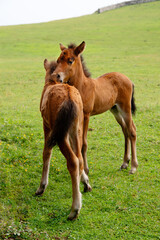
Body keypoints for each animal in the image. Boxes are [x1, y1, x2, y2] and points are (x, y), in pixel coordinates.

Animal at [36, 59, 91, 220]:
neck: (52, 82)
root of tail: (69, 97)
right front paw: (86, 182)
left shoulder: (47, 126)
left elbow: (46, 153)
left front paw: (41, 187)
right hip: (75, 130)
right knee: (79, 158)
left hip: (61, 136)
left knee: (73, 161)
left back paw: (74, 209)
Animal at [52, 41, 138, 174]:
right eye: (58, 60)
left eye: (70, 61)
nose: (56, 76)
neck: (82, 87)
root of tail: (128, 79)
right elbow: (74, 143)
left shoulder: (86, 116)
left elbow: (83, 143)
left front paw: (85, 169)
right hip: (115, 110)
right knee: (125, 130)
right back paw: (125, 163)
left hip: (125, 108)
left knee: (132, 131)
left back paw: (133, 166)